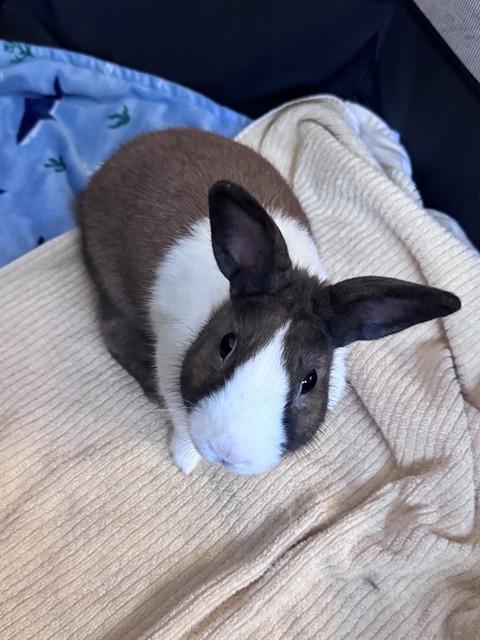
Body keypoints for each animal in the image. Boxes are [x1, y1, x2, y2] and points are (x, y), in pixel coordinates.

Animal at [75, 127, 461, 476]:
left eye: (310, 380)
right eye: (226, 344)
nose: (225, 452)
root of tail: (125, 151)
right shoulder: (170, 360)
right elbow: (182, 424)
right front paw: (185, 461)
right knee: (114, 332)